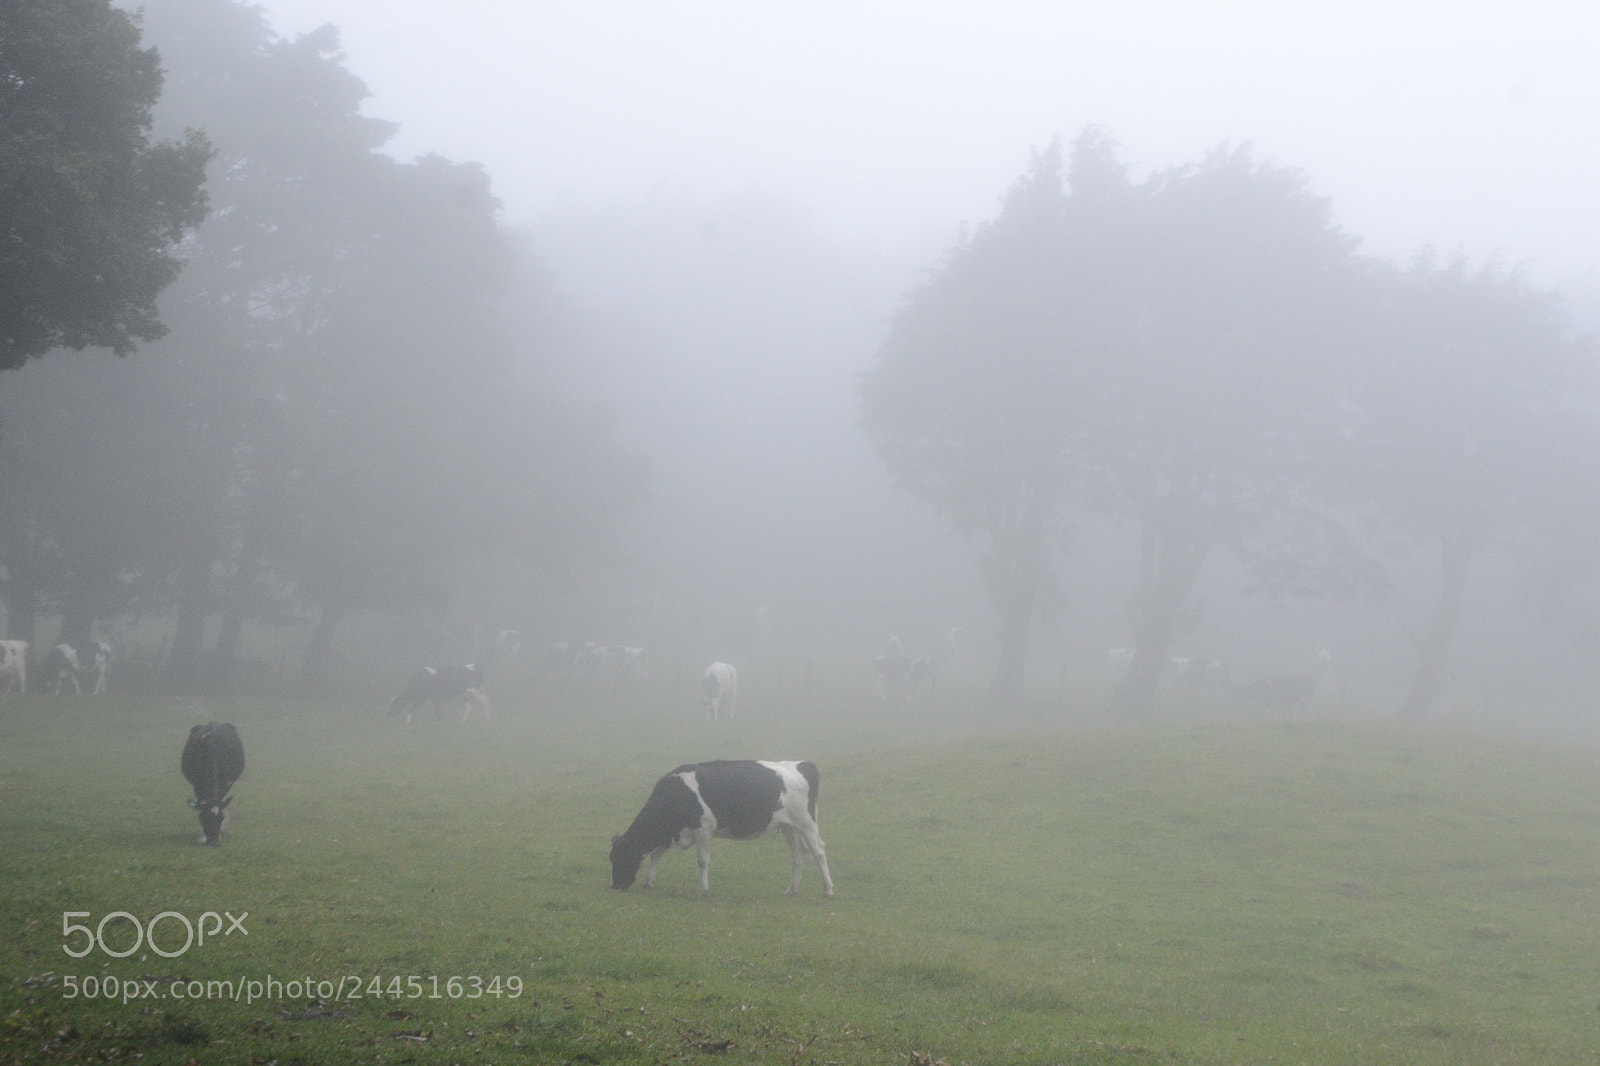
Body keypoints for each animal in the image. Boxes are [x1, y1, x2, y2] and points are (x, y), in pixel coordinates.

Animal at [609, 759, 834, 898]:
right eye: (611, 858)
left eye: (621, 857)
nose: (615, 887)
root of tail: (802, 764)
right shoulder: (671, 832)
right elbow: (656, 854)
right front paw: (649, 882)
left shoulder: (703, 828)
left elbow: (702, 861)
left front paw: (703, 888)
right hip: (789, 826)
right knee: (799, 854)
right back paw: (791, 889)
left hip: (806, 821)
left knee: (819, 851)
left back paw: (828, 890)